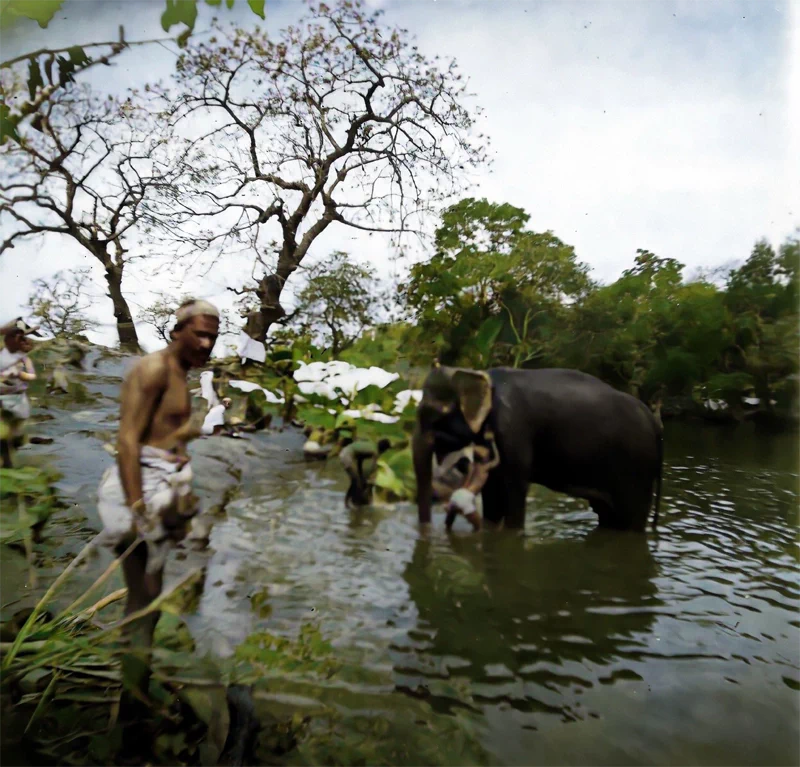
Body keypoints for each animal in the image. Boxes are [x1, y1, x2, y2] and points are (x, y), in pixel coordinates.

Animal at [412, 366, 664, 536]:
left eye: (433, 414)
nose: (429, 531)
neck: (479, 374)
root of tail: (655, 422)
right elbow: (492, 491)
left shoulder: (514, 429)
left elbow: (514, 488)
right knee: (609, 517)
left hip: (637, 470)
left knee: (631, 519)